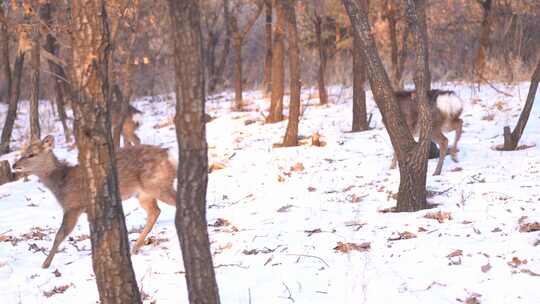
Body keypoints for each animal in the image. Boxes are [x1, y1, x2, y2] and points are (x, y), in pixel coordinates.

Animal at [12, 135, 177, 268]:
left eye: (31, 154)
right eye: (22, 153)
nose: (14, 165)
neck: (62, 184)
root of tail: (169, 155)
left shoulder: (73, 206)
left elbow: (60, 235)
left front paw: (45, 264)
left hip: (157, 184)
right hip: (144, 194)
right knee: (155, 211)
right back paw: (135, 248)